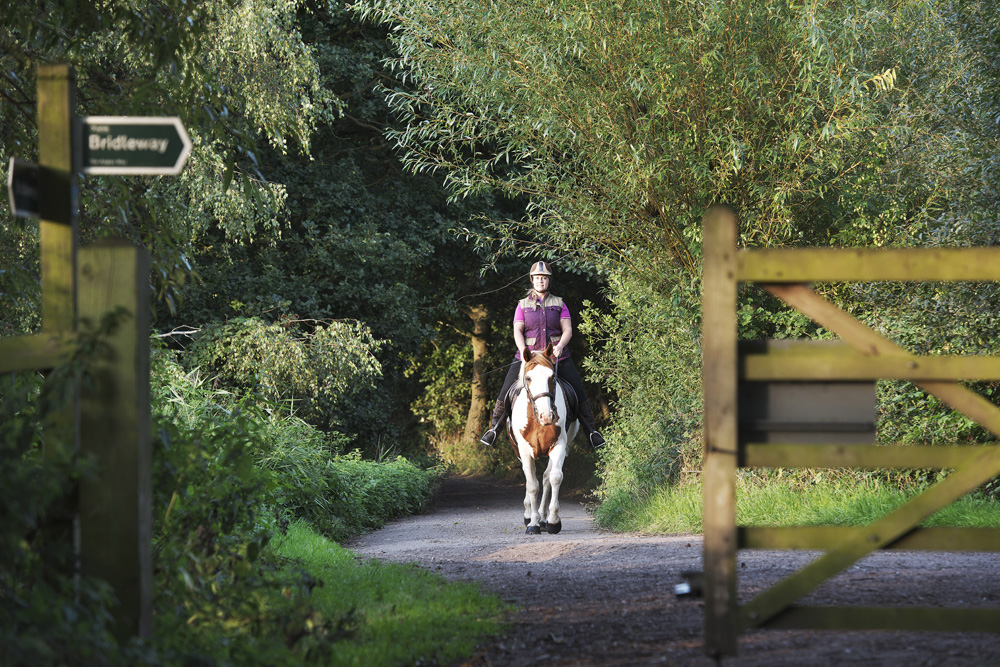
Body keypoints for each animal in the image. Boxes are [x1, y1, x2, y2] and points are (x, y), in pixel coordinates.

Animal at [508, 344, 580, 536]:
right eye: (528, 378)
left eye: (551, 377)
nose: (547, 416)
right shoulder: (524, 451)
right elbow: (532, 485)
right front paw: (532, 523)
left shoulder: (559, 445)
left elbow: (554, 477)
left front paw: (553, 521)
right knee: (530, 478)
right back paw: (530, 515)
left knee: (547, 477)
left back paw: (543, 518)